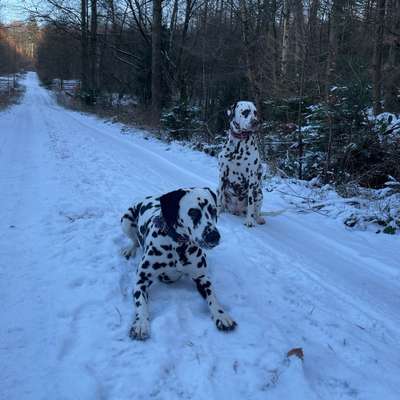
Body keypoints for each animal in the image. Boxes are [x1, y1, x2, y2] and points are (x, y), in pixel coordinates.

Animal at [120, 188, 236, 340]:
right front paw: (141, 323)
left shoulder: (202, 278)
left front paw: (221, 315)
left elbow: (213, 297)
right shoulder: (142, 280)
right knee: (134, 241)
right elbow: (141, 304)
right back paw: (129, 249)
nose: (214, 236)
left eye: (213, 210)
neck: (178, 247)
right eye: (193, 212)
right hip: (126, 221)